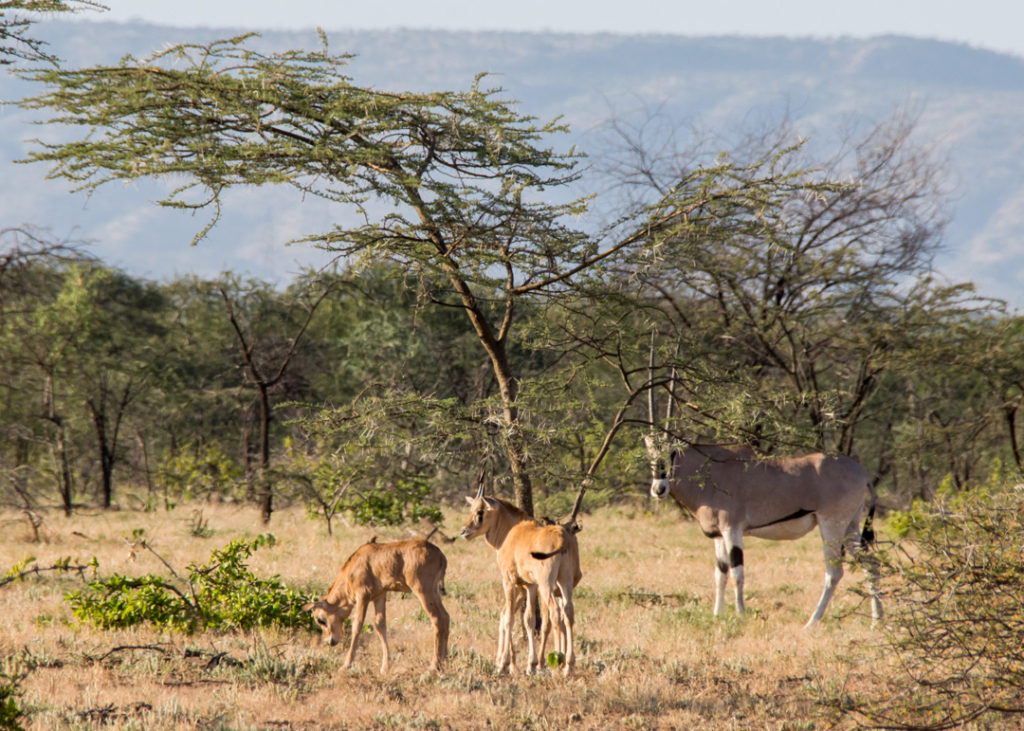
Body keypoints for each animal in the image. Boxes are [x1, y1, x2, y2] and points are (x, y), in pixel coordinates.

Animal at [303, 536, 448, 671]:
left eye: (321, 619)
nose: (330, 641)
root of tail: (440, 555)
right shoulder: (379, 596)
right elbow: (380, 625)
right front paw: (385, 667)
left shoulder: (363, 596)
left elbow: (357, 626)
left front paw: (345, 665)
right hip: (434, 592)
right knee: (446, 617)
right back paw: (444, 660)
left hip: (423, 591)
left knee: (437, 619)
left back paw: (434, 665)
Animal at [460, 481, 581, 675]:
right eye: (471, 508)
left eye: (480, 511)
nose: (464, 531)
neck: (512, 532)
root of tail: (563, 537)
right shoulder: (529, 586)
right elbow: (528, 619)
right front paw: (531, 665)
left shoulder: (509, 581)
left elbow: (509, 617)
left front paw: (504, 664)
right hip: (564, 582)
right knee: (568, 612)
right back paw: (568, 665)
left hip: (547, 584)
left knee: (555, 614)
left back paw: (557, 664)